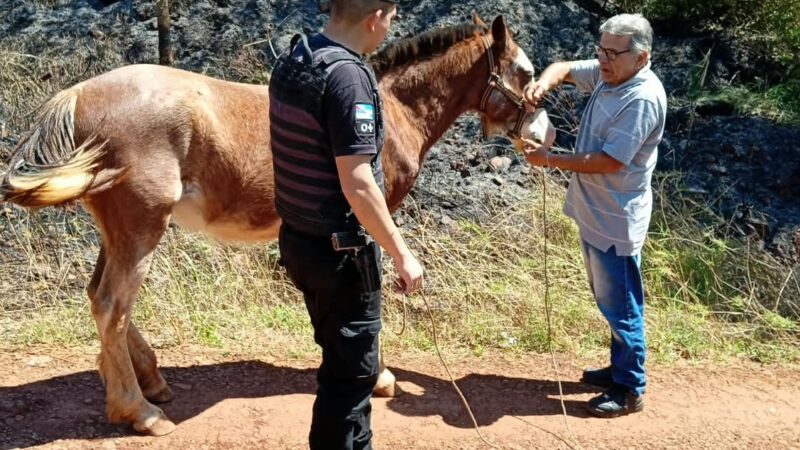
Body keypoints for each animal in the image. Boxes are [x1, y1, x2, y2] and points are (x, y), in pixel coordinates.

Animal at [0, 14, 555, 436]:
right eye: (525, 71)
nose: (545, 135)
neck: (394, 106)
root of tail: (77, 96)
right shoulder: (371, 218)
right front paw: (378, 375)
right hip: (140, 230)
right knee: (111, 305)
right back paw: (140, 410)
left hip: (118, 232)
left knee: (99, 296)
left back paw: (149, 380)